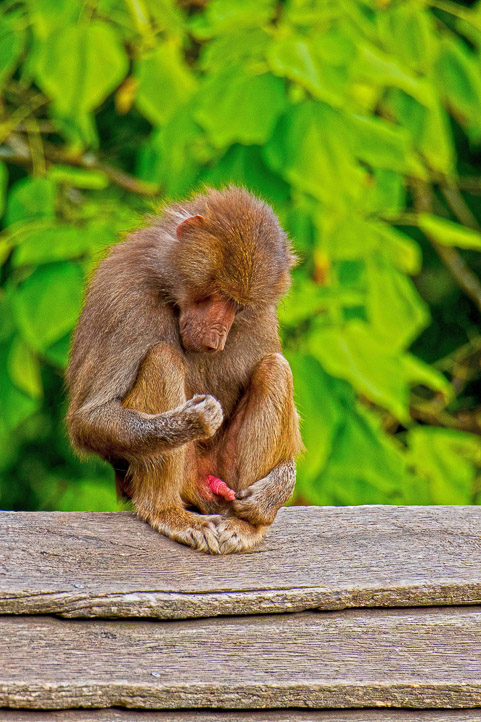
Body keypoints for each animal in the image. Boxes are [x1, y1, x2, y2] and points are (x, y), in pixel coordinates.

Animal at [66, 186, 303, 554]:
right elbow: (89, 419)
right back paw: (165, 512)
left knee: (275, 369)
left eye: (239, 305)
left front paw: (275, 491)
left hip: (223, 473)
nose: (216, 337)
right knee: (163, 358)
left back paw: (244, 525)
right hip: (180, 476)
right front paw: (192, 420)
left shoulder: (262, 317)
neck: (169, 290)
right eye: (217, 293)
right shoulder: (124, 298)